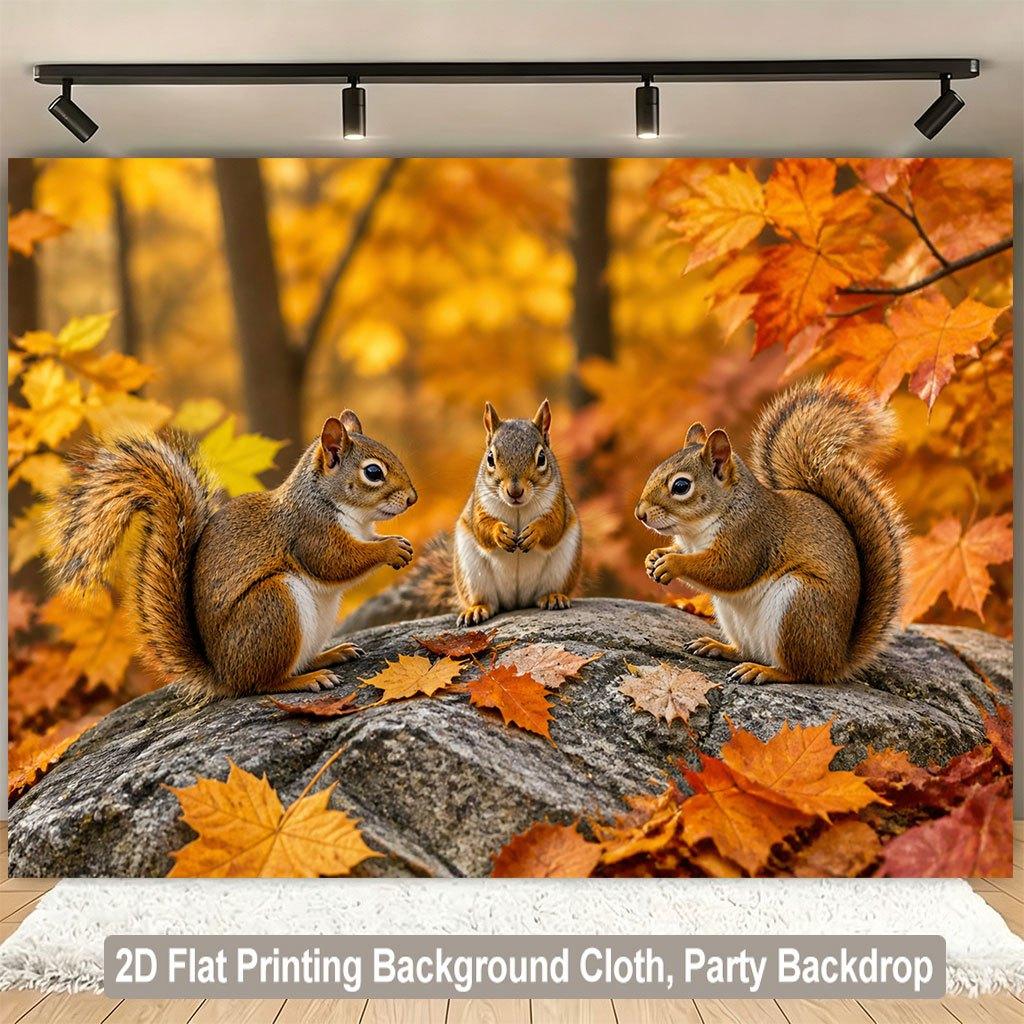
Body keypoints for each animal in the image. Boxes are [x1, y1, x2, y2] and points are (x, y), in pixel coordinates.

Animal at [47, 411, 418, 699]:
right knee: (261, 683)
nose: (413, 498)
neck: (348, 512)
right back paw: (307, 679)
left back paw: (330, 654)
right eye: (373, 472)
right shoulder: (309, 533)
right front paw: (391, 548)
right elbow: (336, 561)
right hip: (272, 605)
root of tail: (224, 673)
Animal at [452, 400, 583, 626]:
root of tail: (517, 603)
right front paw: (500, 533)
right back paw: (476, 609)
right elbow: (481, 527)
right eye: (490, 458)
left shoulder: (558, 504)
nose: (514, 492)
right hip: (471, 572)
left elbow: (553, 526)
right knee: (486, 601)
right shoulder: (479, 505)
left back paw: (553, 597)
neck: (518, 508)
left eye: (541, 458)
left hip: (563, 566)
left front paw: (534, 532)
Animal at [634, 378, 906, 685]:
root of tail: (836, 660)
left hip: (798, 605)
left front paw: (671, 563)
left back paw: (764, 670)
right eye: (656, 469)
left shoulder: (750, 536)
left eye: (681, 486)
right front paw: (655, 556)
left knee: (800, 672)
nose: (640, 514)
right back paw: (718, 647)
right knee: (746, 651)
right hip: (733, 617)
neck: (695, 530)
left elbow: (728, 570)